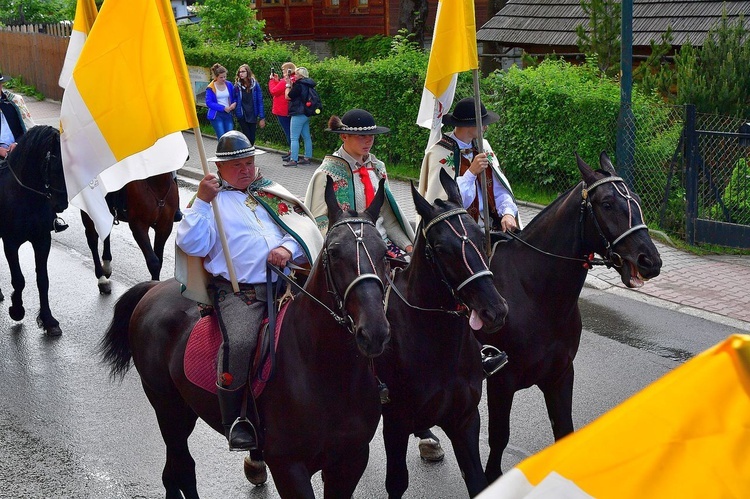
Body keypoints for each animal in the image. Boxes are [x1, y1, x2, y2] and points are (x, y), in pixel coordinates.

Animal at [0, 125, 68, 336]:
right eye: (54, 166)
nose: (61, 204)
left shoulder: (42, 240)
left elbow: (43, 280)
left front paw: (48, 320)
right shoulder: (10, 243)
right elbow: (19, 279)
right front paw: (17, 310)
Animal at [100, 178, 394, 498]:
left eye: (384, 254)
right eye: (334, 252)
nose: (374, 332)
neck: (326, 372)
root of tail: (153, 289)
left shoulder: (350, 461)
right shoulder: (288, 465)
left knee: (173, 469)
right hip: (167, 406)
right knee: (182, 466)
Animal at [378, 170, 516, 498]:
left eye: (480, 236)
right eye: (441, 249)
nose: (495, 310)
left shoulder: (465, 419)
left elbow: (477, 480)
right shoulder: (395, 423)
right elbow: (396, 482)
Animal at [476, 151, 664, 480]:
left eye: (638, 200)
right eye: (607, 204)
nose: (649, 260)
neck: (535, 294)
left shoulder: (560, 375)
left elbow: (564, 431)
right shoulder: (501, 381)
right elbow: (498, 439)